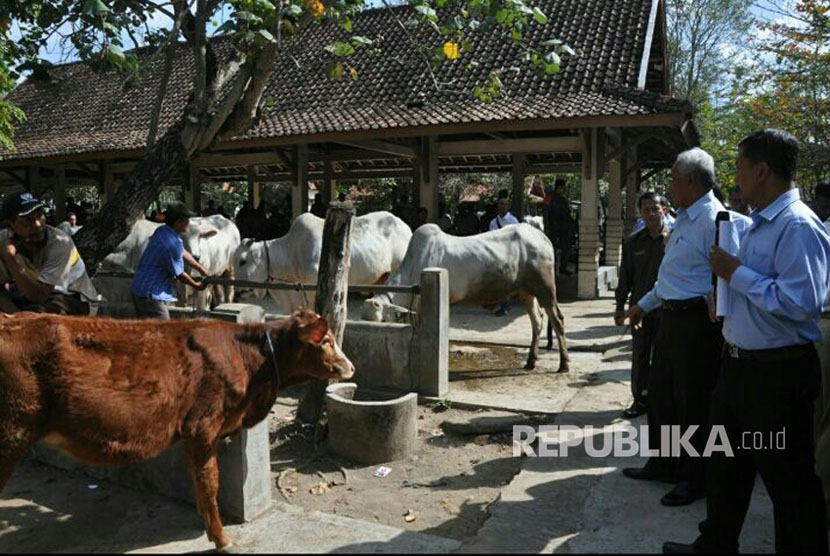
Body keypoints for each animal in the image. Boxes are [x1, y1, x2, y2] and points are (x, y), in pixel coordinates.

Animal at [0, 310, 354, 548]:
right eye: (326, 340)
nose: (351, 366)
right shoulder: (202, 425)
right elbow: (210, 481)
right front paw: (221, 538)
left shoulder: (192, 433)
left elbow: (198, 479)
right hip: (13, 432)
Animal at [364, 224, 572, 372]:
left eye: (382, 320)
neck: (415, 266)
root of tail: (542, 237)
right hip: (526, 293)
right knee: (537, 321)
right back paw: (531, 361)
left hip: (545, 289)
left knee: (557, 320)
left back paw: (564, 364)